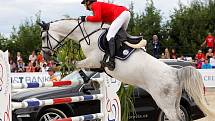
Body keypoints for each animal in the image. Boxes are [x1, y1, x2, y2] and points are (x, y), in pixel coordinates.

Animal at [39, 19, 215, 121]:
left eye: (43, 37)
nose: (45, 55)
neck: (88, 34)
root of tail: (175, 73)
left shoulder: (93, 59)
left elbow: (75, 64)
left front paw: (63, 67)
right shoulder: (97, 64)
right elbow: (88, 69)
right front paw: (92, 83)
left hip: (165, 104)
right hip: (175, 102)